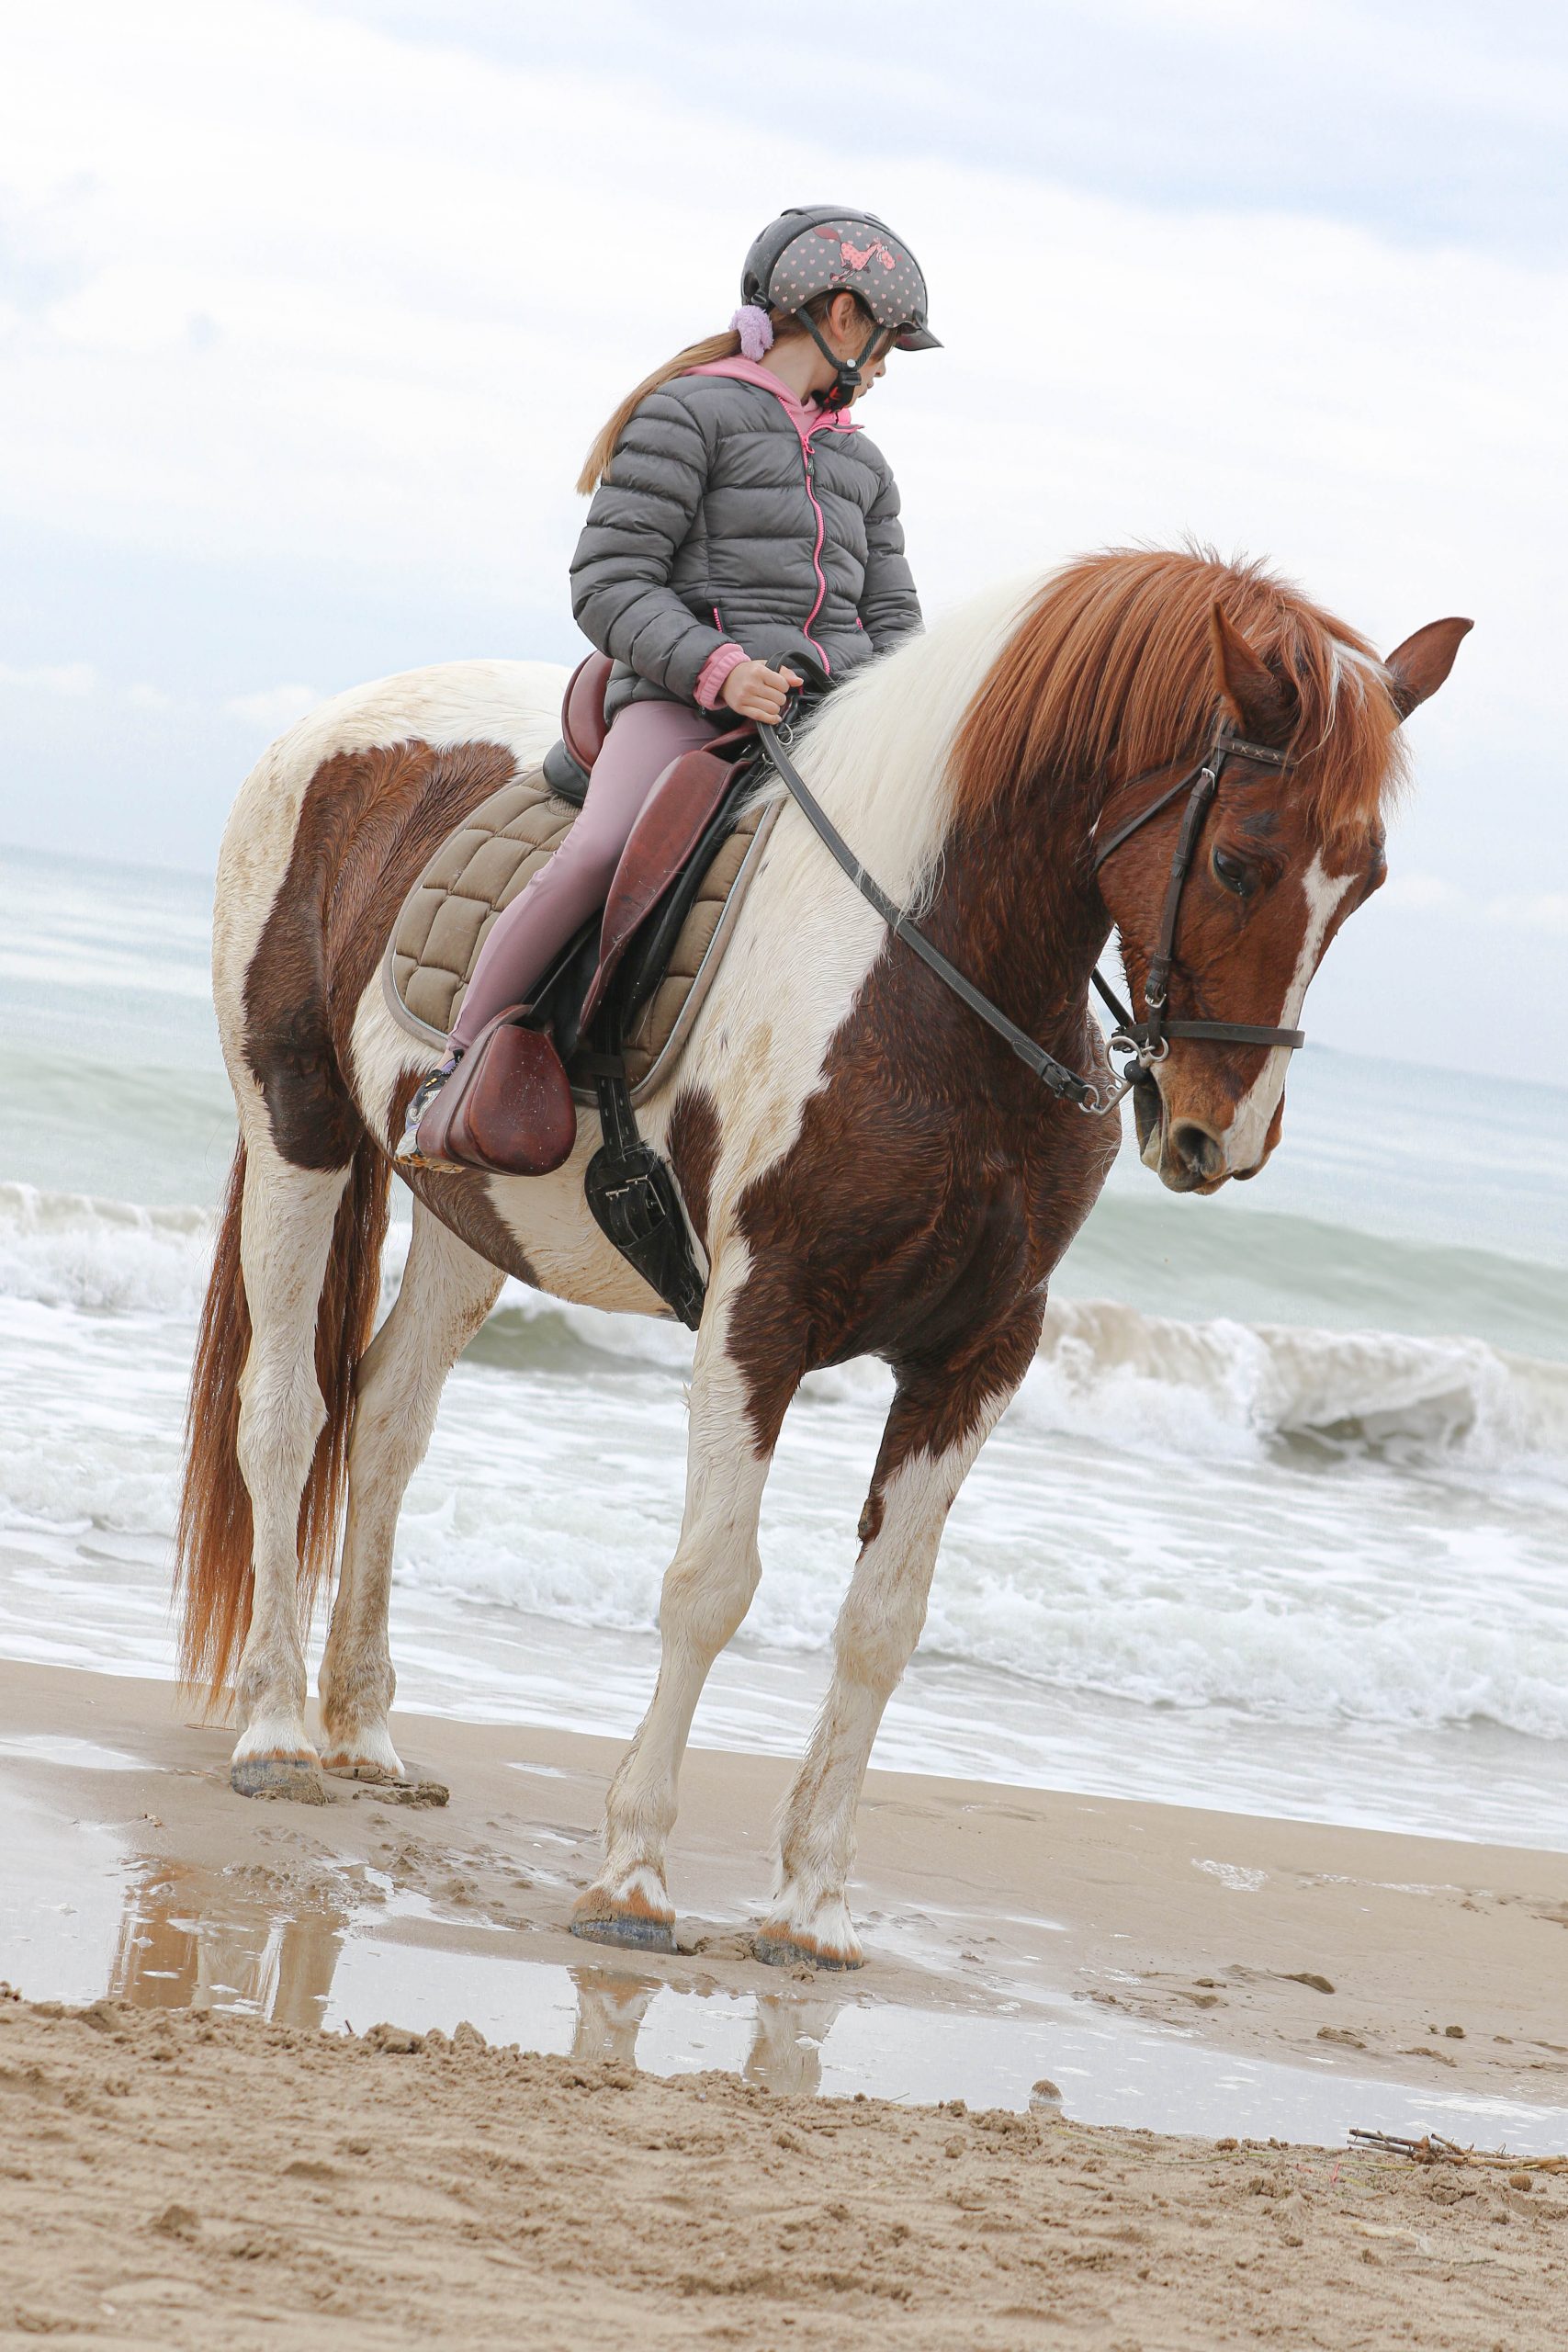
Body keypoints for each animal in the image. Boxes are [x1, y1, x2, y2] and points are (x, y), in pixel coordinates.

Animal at [175, 548, 1468, 1969]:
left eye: (1365, 882)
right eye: (1240, 861)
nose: (1216, 1137)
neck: (929, 970)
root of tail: (325, 729)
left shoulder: (976, 1354)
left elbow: (882, 1625)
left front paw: (811, 1906)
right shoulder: (762, 1316)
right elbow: (711, 1584)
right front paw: (634, 1876)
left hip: (472, 1209)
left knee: (389, 1424)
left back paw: (363, 1732)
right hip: (296, 1128)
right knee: (286, 1415)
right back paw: (279, 1732)